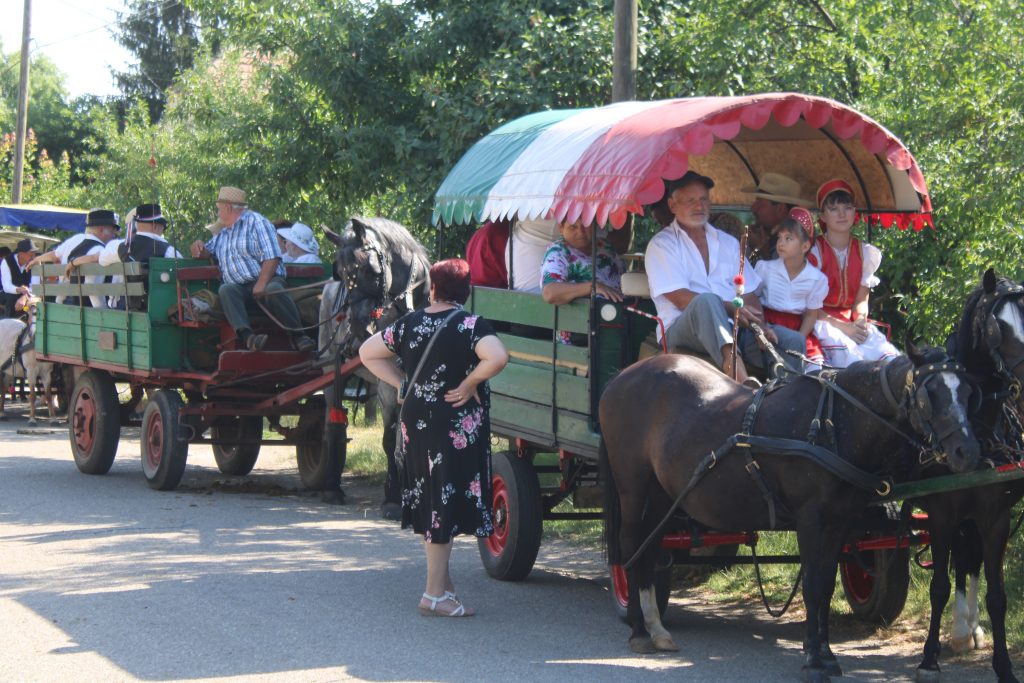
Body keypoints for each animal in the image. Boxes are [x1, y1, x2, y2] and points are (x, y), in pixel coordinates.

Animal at [322, 216, 431, 515]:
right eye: (341, 272)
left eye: (372, 271)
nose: (360, 327)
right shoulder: (388, 385)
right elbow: (390, 436)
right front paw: (393, 498)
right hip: (330, 371)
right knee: (333, 422)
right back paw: (331, 487)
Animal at [601, 347, 983, 683]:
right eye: (930, 395)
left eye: (967, 392)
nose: (968, 451)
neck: (833, 421)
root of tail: (620, 379)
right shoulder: (811, 520)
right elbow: (813, 587)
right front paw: (814, 660)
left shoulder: (839, 521)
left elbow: (825, 586)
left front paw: (826, 655)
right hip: (633, 487)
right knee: (630, 549)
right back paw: (639, 630)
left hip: (662, 494)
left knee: (650, 549)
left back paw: (656, 627)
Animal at [914, 269, 1024, 683]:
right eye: (998, 327)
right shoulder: (941, 512)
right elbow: (939, 586)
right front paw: (928, 659)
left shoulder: (997, 516)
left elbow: (997, 594)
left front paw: (1004, 665)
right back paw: (960, 631)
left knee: (970, 560)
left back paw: (969, 630)